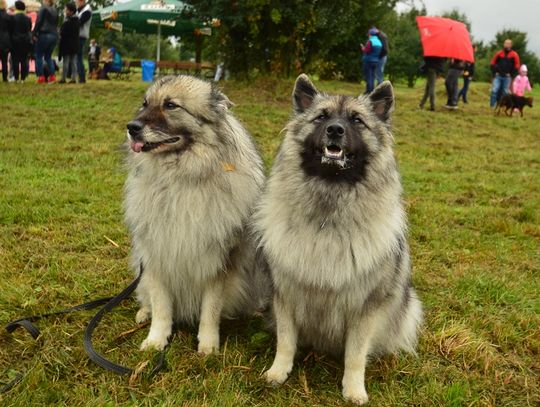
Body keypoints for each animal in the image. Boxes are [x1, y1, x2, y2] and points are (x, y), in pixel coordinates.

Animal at [122, 75, 266, 354]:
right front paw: (156, 340)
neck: (181, 177)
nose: (131, 127)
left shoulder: (218, 263)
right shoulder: (157, 257)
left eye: (171, 105)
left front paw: (208, 345)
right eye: (145, 104)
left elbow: (210, 310)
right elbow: (161, 307)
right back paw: (144, 312)